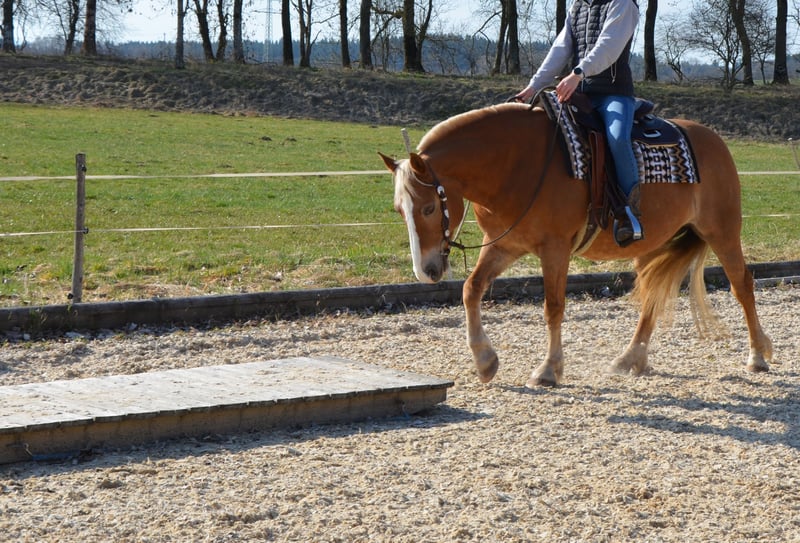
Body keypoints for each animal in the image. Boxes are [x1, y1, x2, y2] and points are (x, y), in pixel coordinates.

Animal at [380, 102, 773, 387]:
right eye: (399, 209)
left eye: (429, 207)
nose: (426, 270)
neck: (516, 165)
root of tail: (713, 140)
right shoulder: (503, 245)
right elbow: (471, 290)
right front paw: (484, 361)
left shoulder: (554, 249)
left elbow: (553, 306)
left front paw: (549, 369)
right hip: (652, 243)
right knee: (652, 294)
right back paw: (631, 358)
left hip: (722, 230)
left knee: (742, 286)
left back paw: (757, 356)